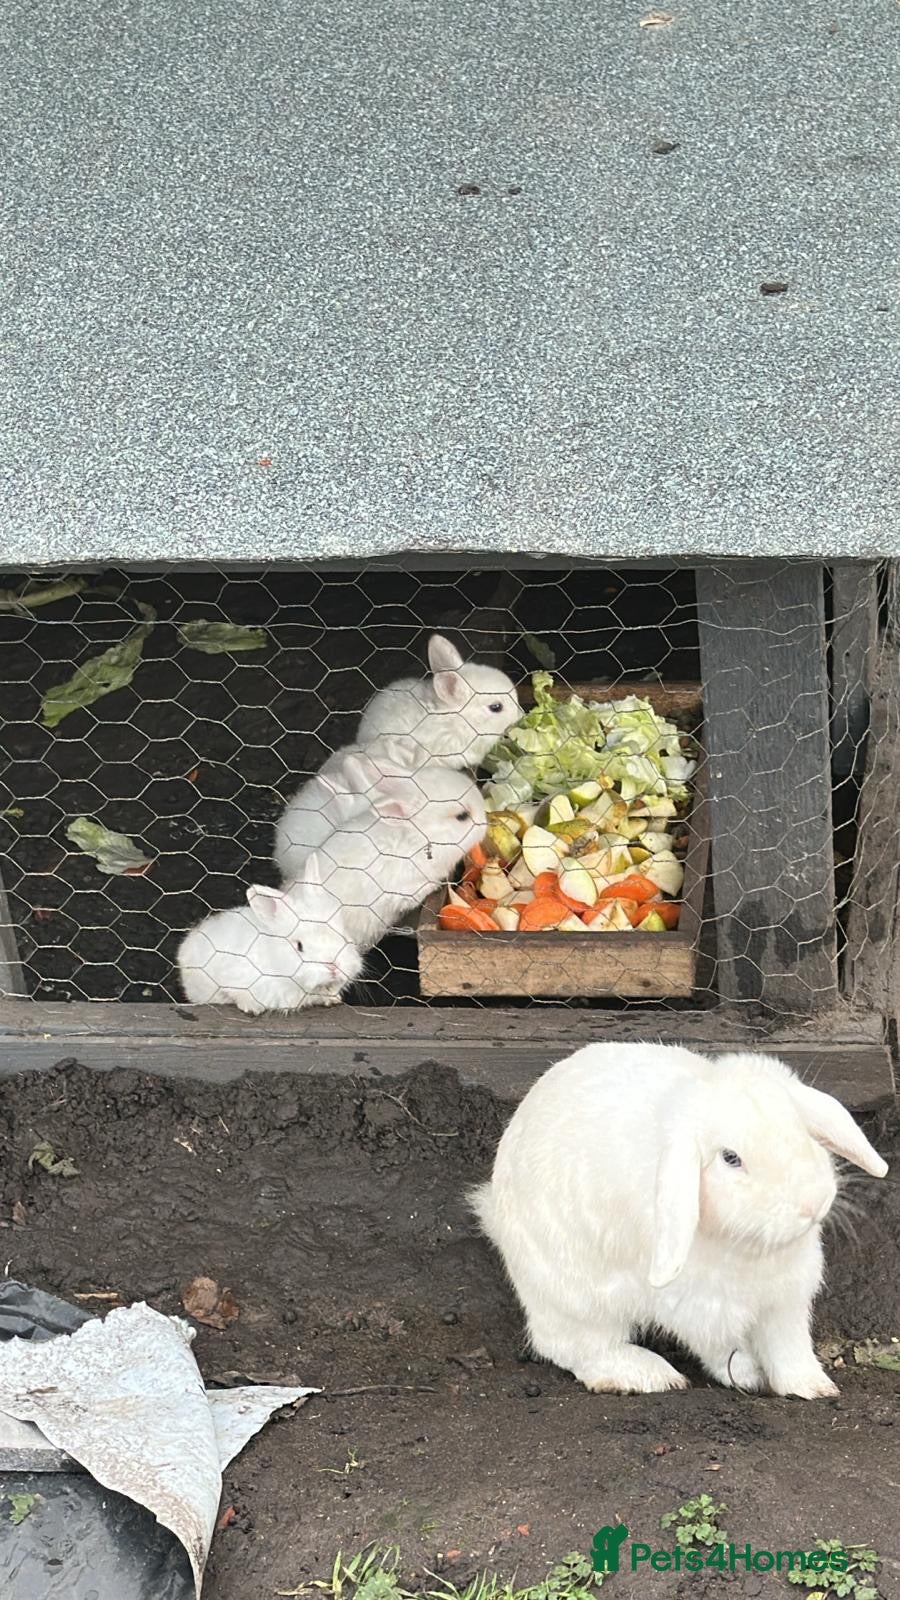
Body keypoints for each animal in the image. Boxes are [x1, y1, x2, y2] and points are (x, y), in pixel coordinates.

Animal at [177, 859, 363, 1014]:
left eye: (344, 936)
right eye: (299, 946)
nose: (333, 966)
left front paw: (333, 1000)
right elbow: (236, 993)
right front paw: (252, 1008)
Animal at [470, 1043, 888, 1399]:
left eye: (801, 1132)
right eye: (730, 1158)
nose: (813, 1202)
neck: (750, 1247)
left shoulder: (786, 1299)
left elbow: (788, 1346)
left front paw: (813, 1387)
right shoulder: (698, 1306)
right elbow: (721, 1348)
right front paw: (748, 1375)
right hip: (572, 1296)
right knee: (570, 1345)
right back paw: (647, 1375)